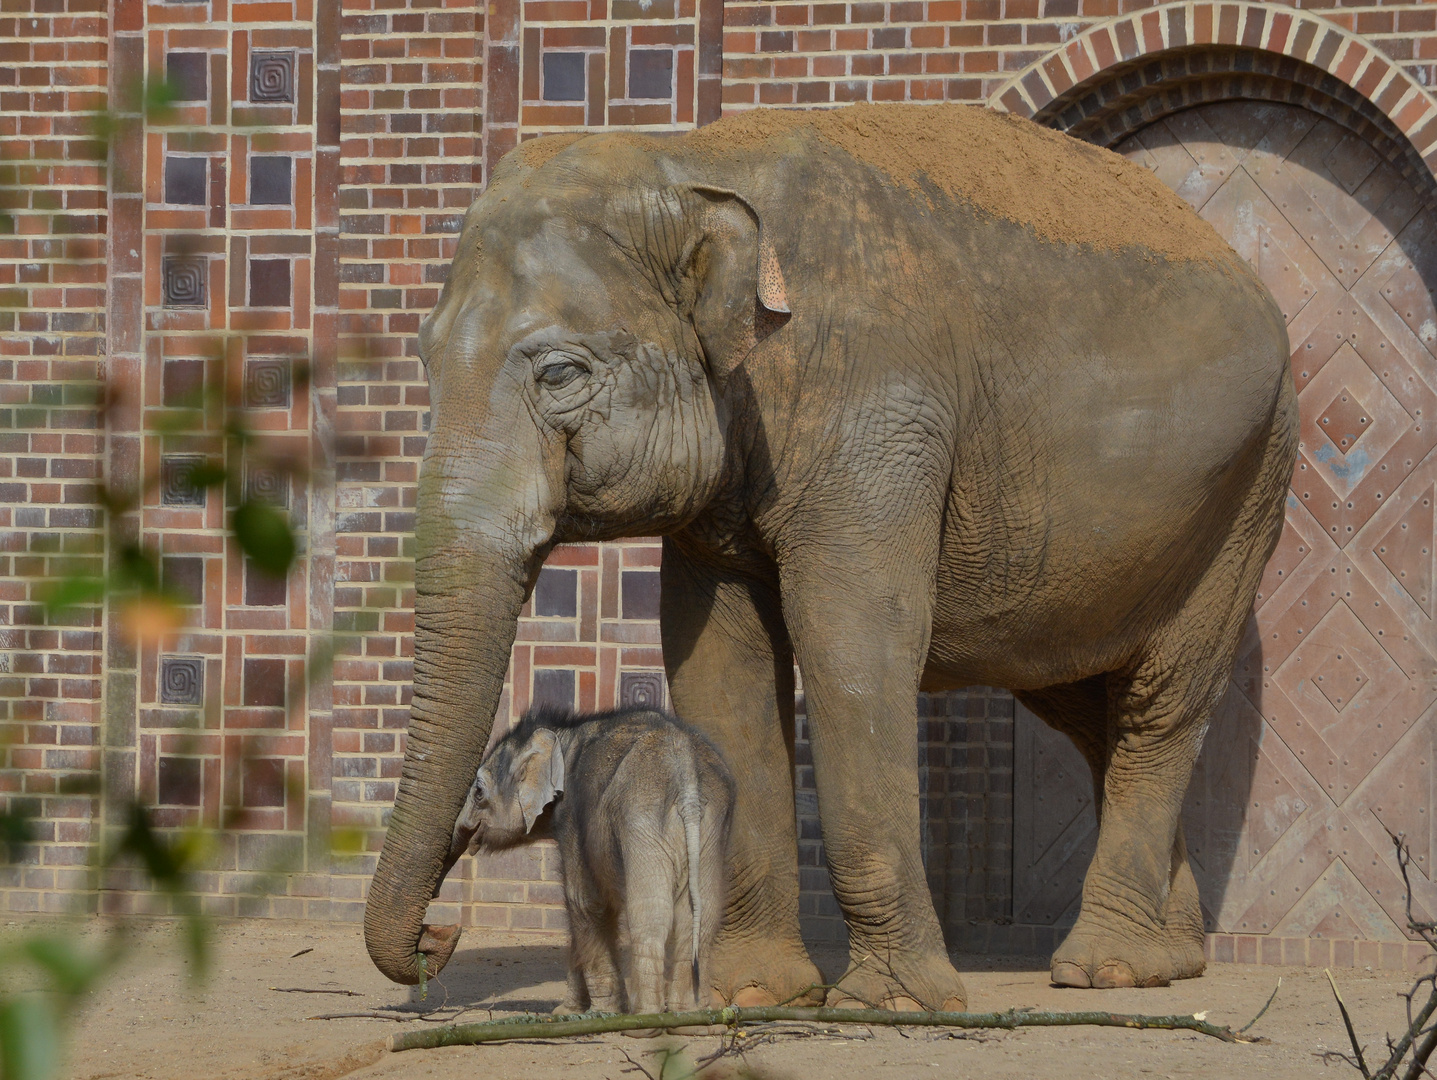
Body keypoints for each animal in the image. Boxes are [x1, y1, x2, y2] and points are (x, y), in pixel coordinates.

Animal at [448, 703, 735, 1016]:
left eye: (478, 792)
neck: (564, 735)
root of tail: (687, 775)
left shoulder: (574, 819)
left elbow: (584, 901)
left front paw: (600, 1012)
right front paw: (568, 1012)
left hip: (641, 819)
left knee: (651, 913)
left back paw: (646, 1016)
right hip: (711, 827)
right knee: (700, 914)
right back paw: (689, 1014)